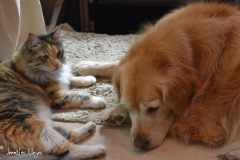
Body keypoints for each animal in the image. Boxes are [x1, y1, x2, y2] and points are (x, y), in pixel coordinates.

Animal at [0, 26, 106, 159]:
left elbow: (72, 79)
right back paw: (98, 149)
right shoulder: (58, 96)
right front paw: (99, 100)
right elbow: (81, 97)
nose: (57, 65)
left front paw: (89, 78)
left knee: (68, 136)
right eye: (45, 57)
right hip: (32, 124)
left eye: (59, 53)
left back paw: (90, 127)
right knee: (68, 150)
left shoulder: (60, 80)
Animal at [74, 1, 240, 159]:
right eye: (130, 108)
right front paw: (87, 66)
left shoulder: (204, 121)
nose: (139, 143)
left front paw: (117, 112)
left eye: (153, 109)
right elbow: (116, 64)